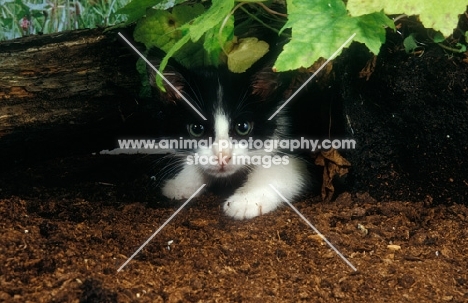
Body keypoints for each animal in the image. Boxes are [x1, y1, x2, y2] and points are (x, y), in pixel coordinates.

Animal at [148, 54, 312, 220]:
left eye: (243, 127)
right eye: (196, 129)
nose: (222, 157)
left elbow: (281, 168)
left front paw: (247, 200)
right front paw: (181, 183)